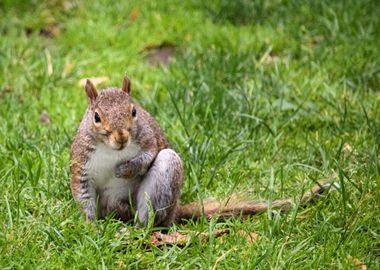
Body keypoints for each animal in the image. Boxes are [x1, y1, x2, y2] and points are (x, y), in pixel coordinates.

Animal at [70, 75, 336, 227]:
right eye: (96, 117)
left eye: (134, 111)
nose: (122, 138)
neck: (111, 150)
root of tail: (176, 210)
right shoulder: (81, 163)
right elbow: (82, 195)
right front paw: (90, 227)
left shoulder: (149, 139)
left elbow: (147, 156)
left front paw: (124, 168)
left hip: (163, 179)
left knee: (151, 219)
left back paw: (137, 230)